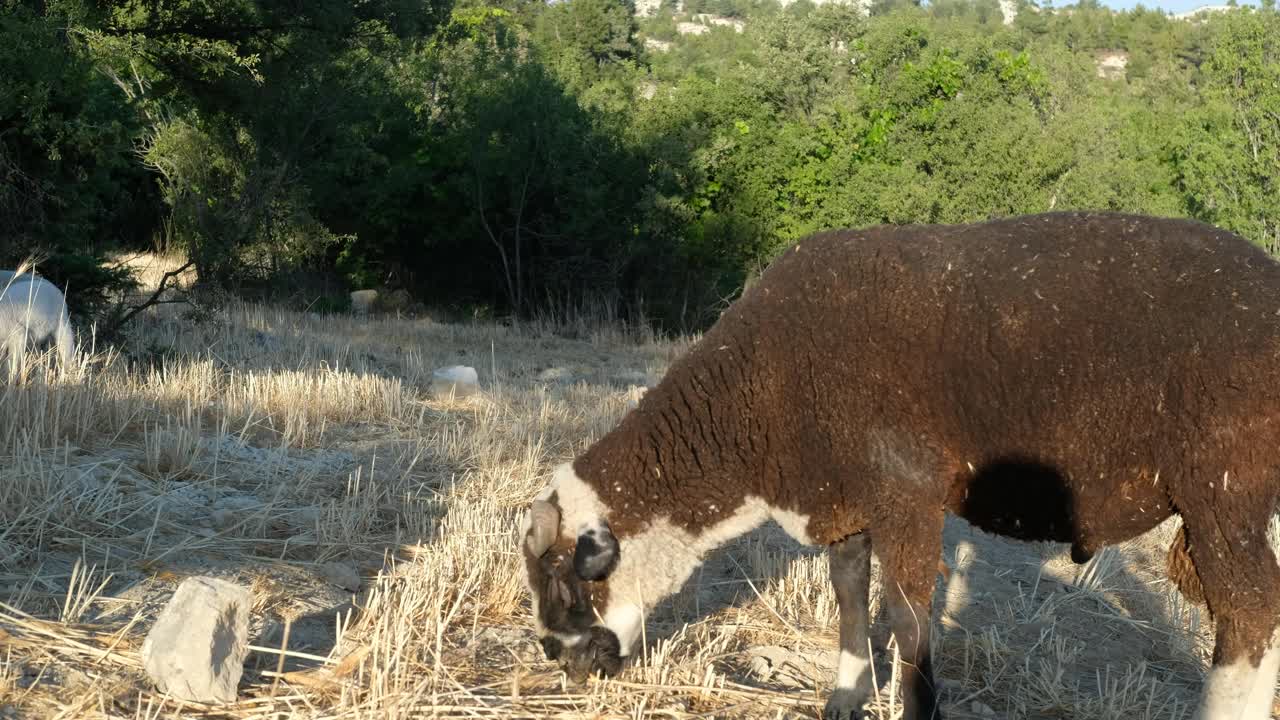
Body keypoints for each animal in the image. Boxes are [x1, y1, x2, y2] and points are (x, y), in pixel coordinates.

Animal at [517, 210, 1280, 712]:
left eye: (565, 577)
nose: (560, 660)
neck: (758, 396)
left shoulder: (907, 492)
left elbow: (910, 619)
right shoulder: (846, 497)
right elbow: (852, 597)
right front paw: (844, 696)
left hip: (1223, 488)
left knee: (1251, 611)